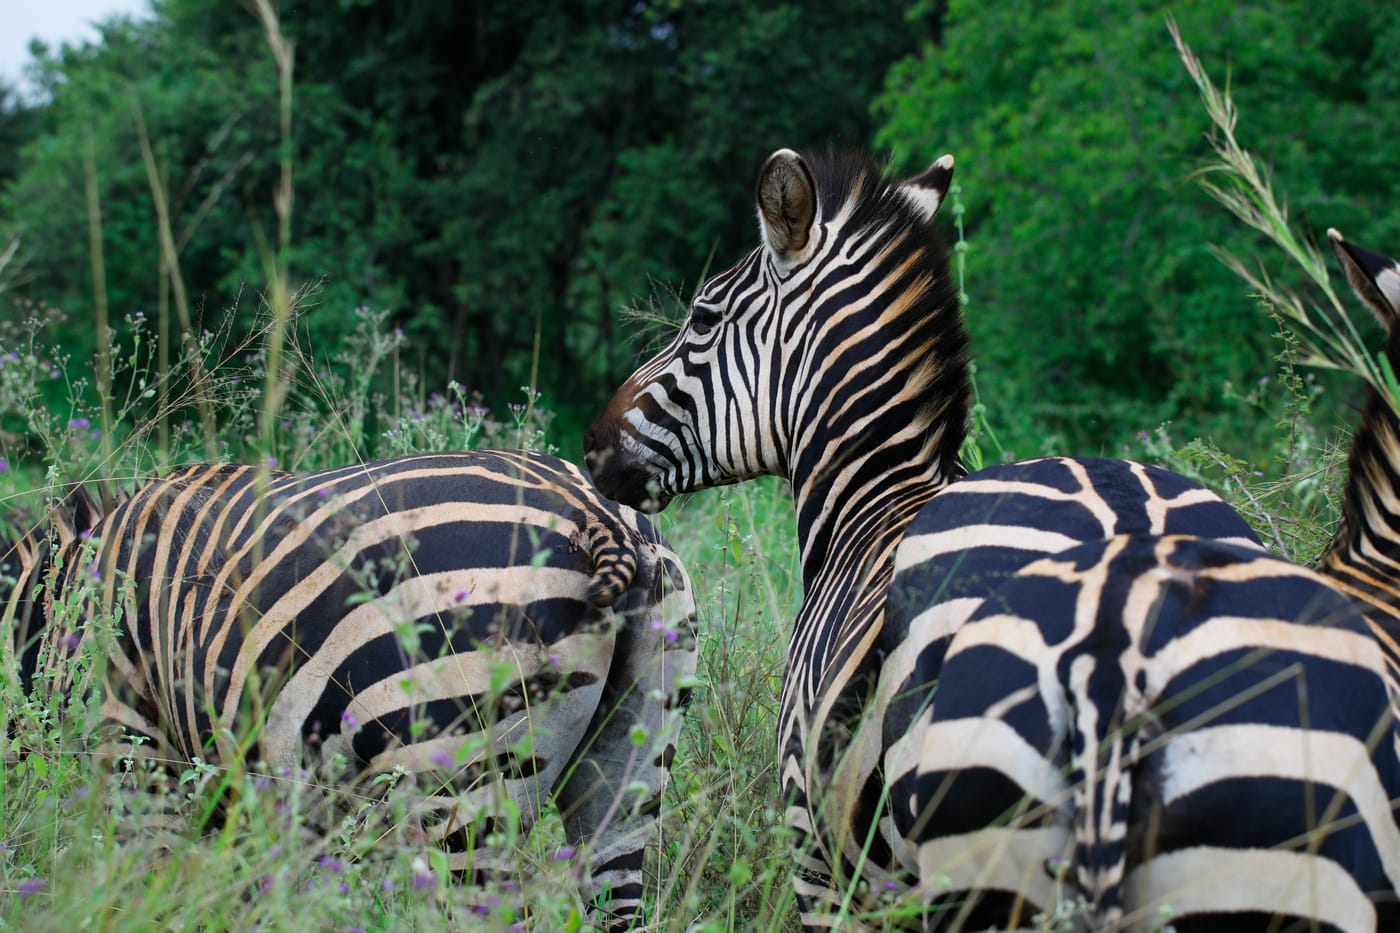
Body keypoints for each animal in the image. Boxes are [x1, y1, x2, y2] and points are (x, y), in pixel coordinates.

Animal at [2, 449, 696, 929]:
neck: (53, 602)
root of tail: (596, 514)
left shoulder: (133, 749)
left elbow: (147, 892)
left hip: (463, 794)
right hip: (628, 769)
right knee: (617, 894)